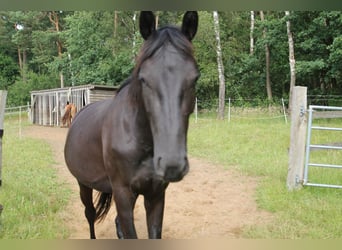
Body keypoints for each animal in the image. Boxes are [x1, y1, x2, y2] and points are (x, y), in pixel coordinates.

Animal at [63, 10, 200, 239]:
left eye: (195, 78)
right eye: (144, 79)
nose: (172, 164)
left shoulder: (156, 194)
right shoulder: (123, 194)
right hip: (83, 184)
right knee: (90, 214)